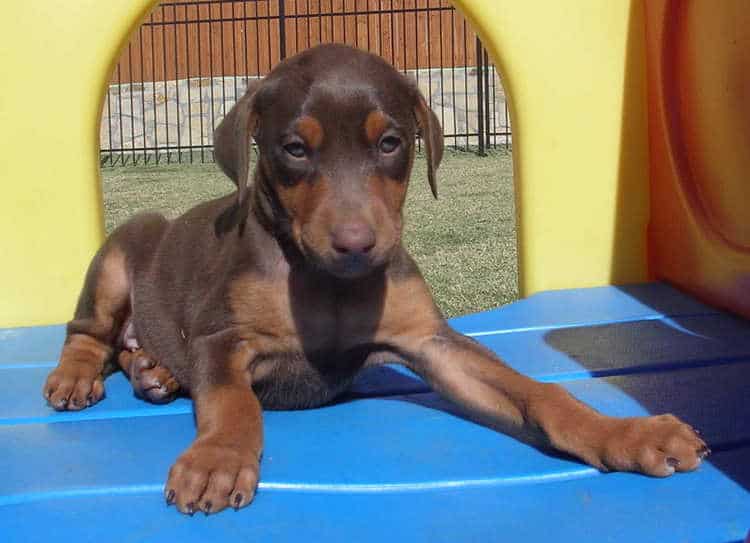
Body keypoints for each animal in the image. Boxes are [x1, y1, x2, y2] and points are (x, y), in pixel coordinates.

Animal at [42, 44, 712, 516]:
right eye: (294, 149)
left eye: (391, 142)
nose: (357, 244)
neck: (326, 281)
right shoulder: (219, 338)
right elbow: (233, 403)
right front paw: (219, 458)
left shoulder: (431, 342)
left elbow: (539, 394)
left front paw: (628, 433)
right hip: (123, 249)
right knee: (88, 331)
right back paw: (78, 376)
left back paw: (153, 371)